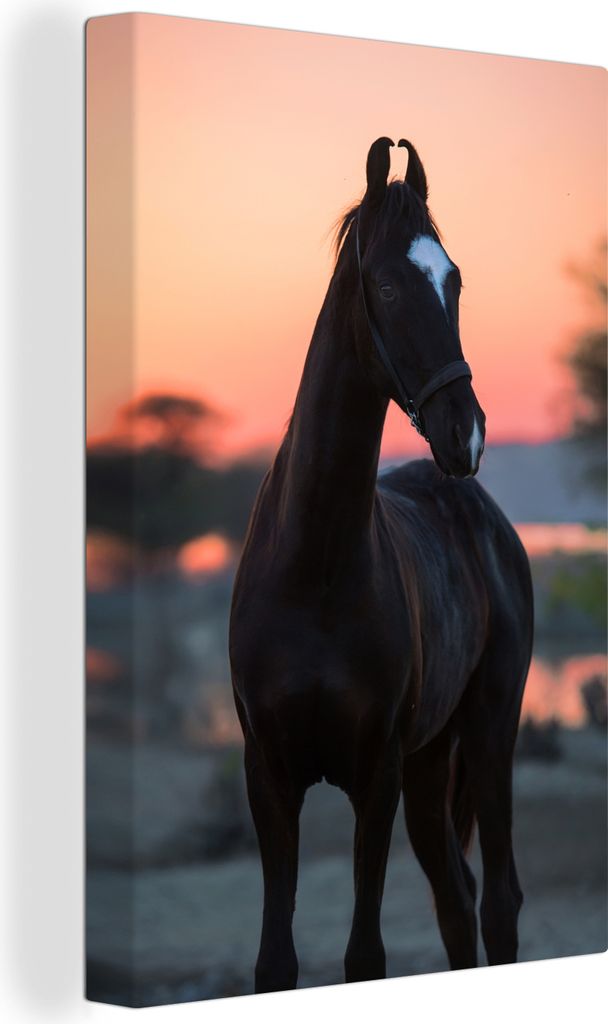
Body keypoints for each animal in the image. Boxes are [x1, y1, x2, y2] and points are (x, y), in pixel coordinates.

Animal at [229, 137, 533, 993]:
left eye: (454, 279)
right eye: (390, 283)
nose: (466, 433)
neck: (315, 569)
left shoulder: (376, 774)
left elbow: (365, 957)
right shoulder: (269, 776)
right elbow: (274, 961)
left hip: (489, 732)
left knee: (497, 903)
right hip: (433, 768)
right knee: (457, 905)